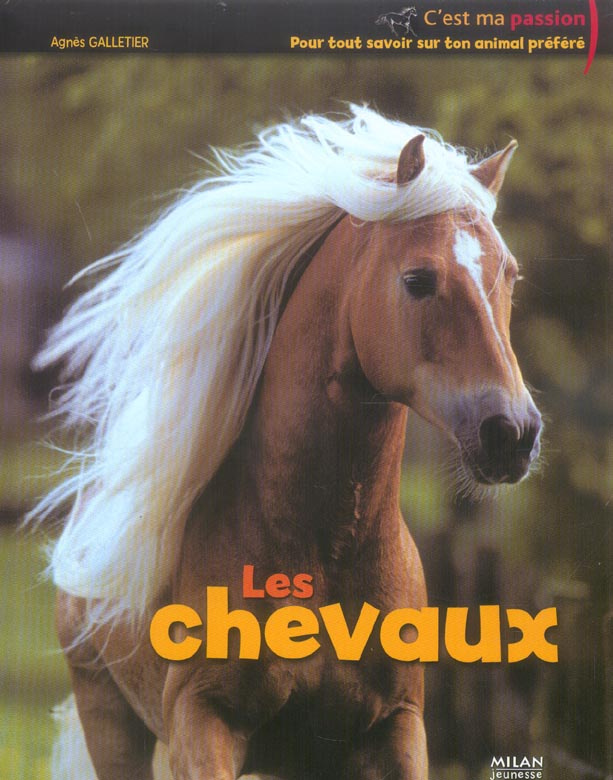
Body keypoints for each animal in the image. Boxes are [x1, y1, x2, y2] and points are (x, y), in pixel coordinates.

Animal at [32, 105, 542, 780]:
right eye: (417, 279)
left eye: (509, 274)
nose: (512, 434)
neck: (323, 551)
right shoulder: (204, 720)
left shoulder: (395, 727)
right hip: (110, 722)